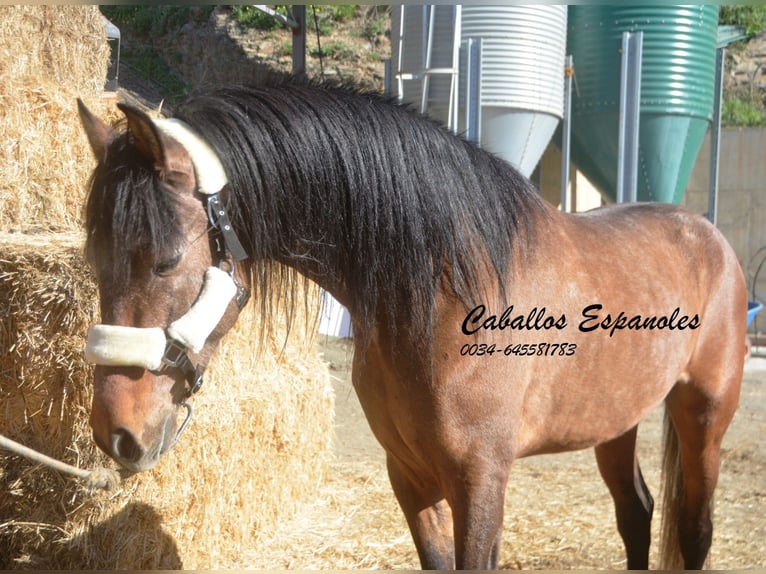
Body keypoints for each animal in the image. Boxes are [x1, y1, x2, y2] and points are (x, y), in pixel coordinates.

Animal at [76, 81, 744, 572]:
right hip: (615, 421)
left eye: (165, 260)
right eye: (94, 259)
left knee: (695, 529)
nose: (118, 433)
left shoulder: (481, 481)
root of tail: (708, 234)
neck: (446, 291)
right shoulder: (410, 475)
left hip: (705, 415)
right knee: (636, 514)